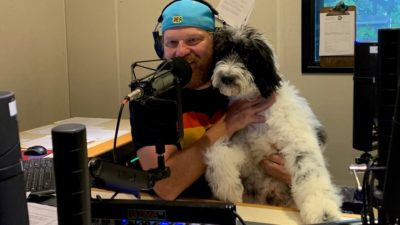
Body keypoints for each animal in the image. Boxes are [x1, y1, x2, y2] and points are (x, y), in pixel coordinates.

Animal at [205, 25, 342, 223]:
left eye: (247, 57)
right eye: (221, 54)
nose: (226, 77)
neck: (259, 107)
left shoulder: (298, 142)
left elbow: (309, 171)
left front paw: (322, 211)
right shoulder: (249, 153)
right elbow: (218, 152)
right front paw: (229, 189)